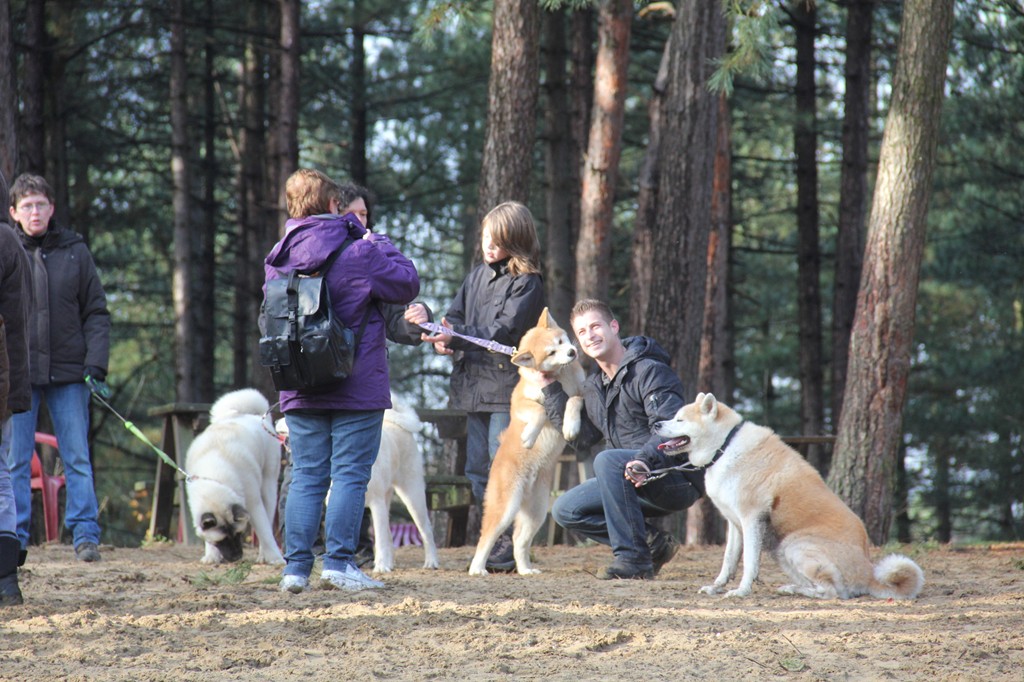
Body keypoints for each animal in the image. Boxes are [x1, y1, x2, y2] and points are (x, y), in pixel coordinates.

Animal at [184, 387, 284, 561]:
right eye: (221, 541)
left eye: (239, 534)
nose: (237, 557)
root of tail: (255, 416)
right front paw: (211, 556)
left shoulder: (254, 505)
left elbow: (264, 532)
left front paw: (275, 558)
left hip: (268, 488)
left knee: (268, 522)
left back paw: (263, 555)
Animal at [466, 307, 581, 573]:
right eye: (551, 352)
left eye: (561, 341)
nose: (572, 352)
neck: (559, 376)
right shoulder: (518, 402)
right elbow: (538, 411)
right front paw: (528, 436)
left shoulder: (581, 393)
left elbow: (573, 400)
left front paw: (571, 426)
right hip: (506, 507)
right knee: (486, 537)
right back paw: (477, 568)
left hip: (537, 511)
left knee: (519, 540)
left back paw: (526, 570)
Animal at [655, 391, 929, 598]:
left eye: (679, 420)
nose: (656, 424)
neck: (725, 445)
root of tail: (869, 574)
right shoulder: (734, 524)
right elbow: (729, 559)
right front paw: (716, 587)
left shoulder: (751, 520)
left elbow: (749, 562)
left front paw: (741, 591)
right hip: (784, 552)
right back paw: (791, 587)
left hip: (793, 545)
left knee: (832, 592)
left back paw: (794, 590)